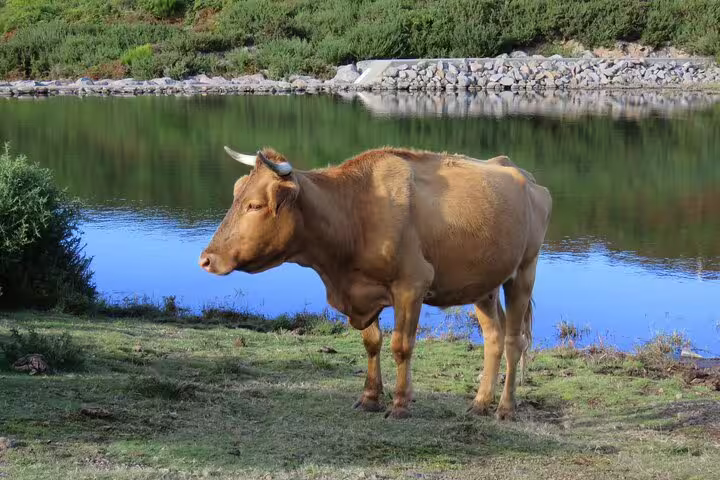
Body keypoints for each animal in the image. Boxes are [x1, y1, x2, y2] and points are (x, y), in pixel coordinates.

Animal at [199, 146, 552, 420]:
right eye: (236, 196)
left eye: (255, 205)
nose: (207, 259)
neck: (355, 212)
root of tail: (527, 177)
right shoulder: (363, 292)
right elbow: (372, 343)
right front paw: (369, 398)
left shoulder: (412, 284)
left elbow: (401, 346)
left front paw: (400, 404)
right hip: (483, 285)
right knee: (494, 337)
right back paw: (480, 403)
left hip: (524, 271)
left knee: (514, 340)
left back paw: (505, 409)